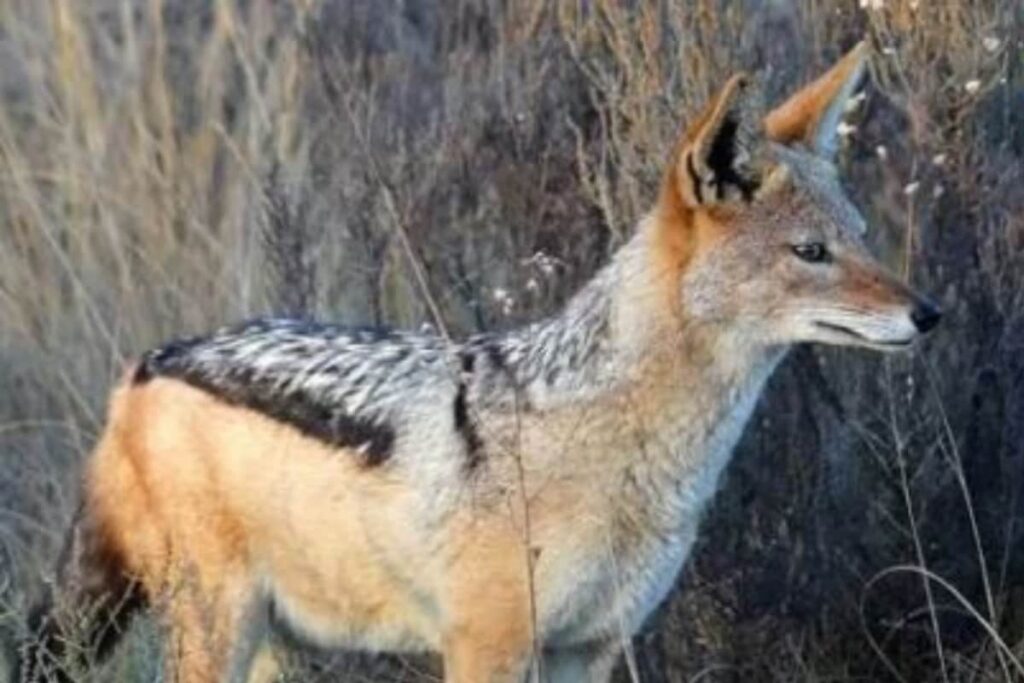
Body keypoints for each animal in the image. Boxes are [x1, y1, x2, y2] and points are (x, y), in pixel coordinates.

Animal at [16, 42, 941, 682]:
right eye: (811, 252)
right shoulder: (486, 647)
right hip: (218, 629)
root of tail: (148, 361)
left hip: (276, 642)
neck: (635, 455)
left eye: (861, 237)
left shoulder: (589, 648)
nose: (929, 314)